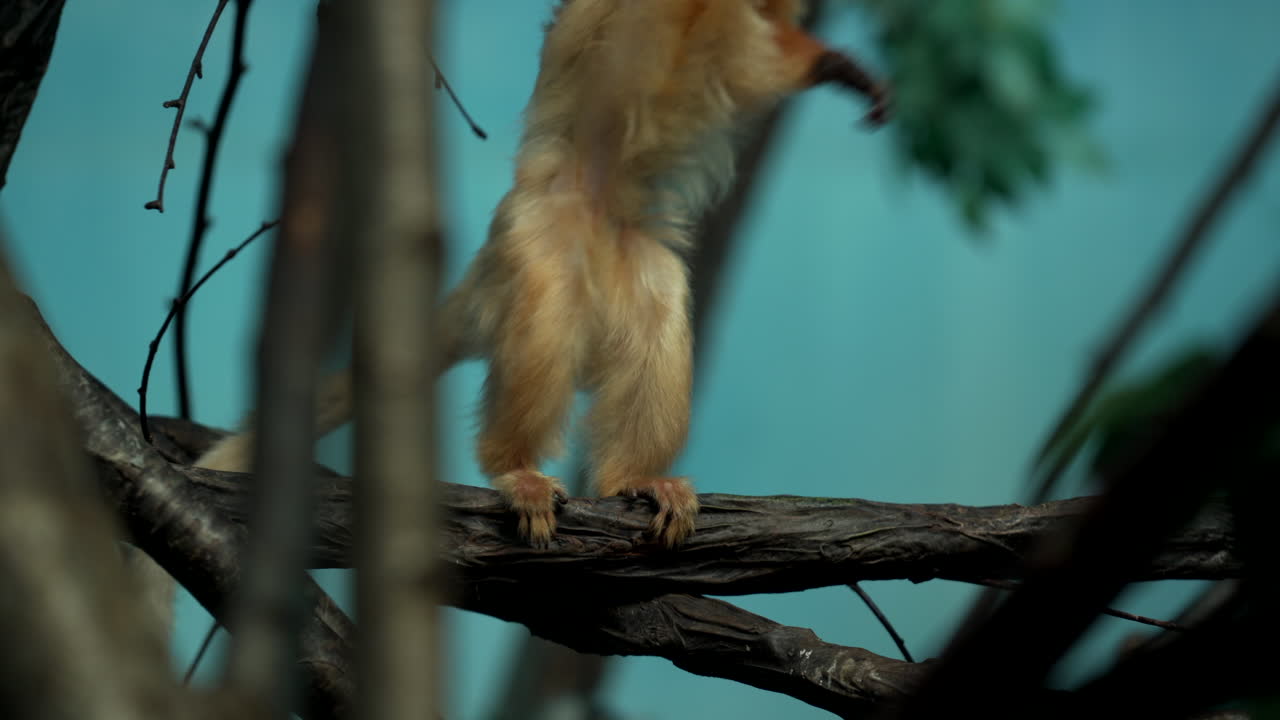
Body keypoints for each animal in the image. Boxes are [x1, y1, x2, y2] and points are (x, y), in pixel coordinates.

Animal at [196, 0, 888, 548]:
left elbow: (761, 47)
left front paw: (834, 65)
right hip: (533, 232)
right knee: (545, 308)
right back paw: (515, 467)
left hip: (626, 256)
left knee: (657, 311)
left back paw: (633, 478)